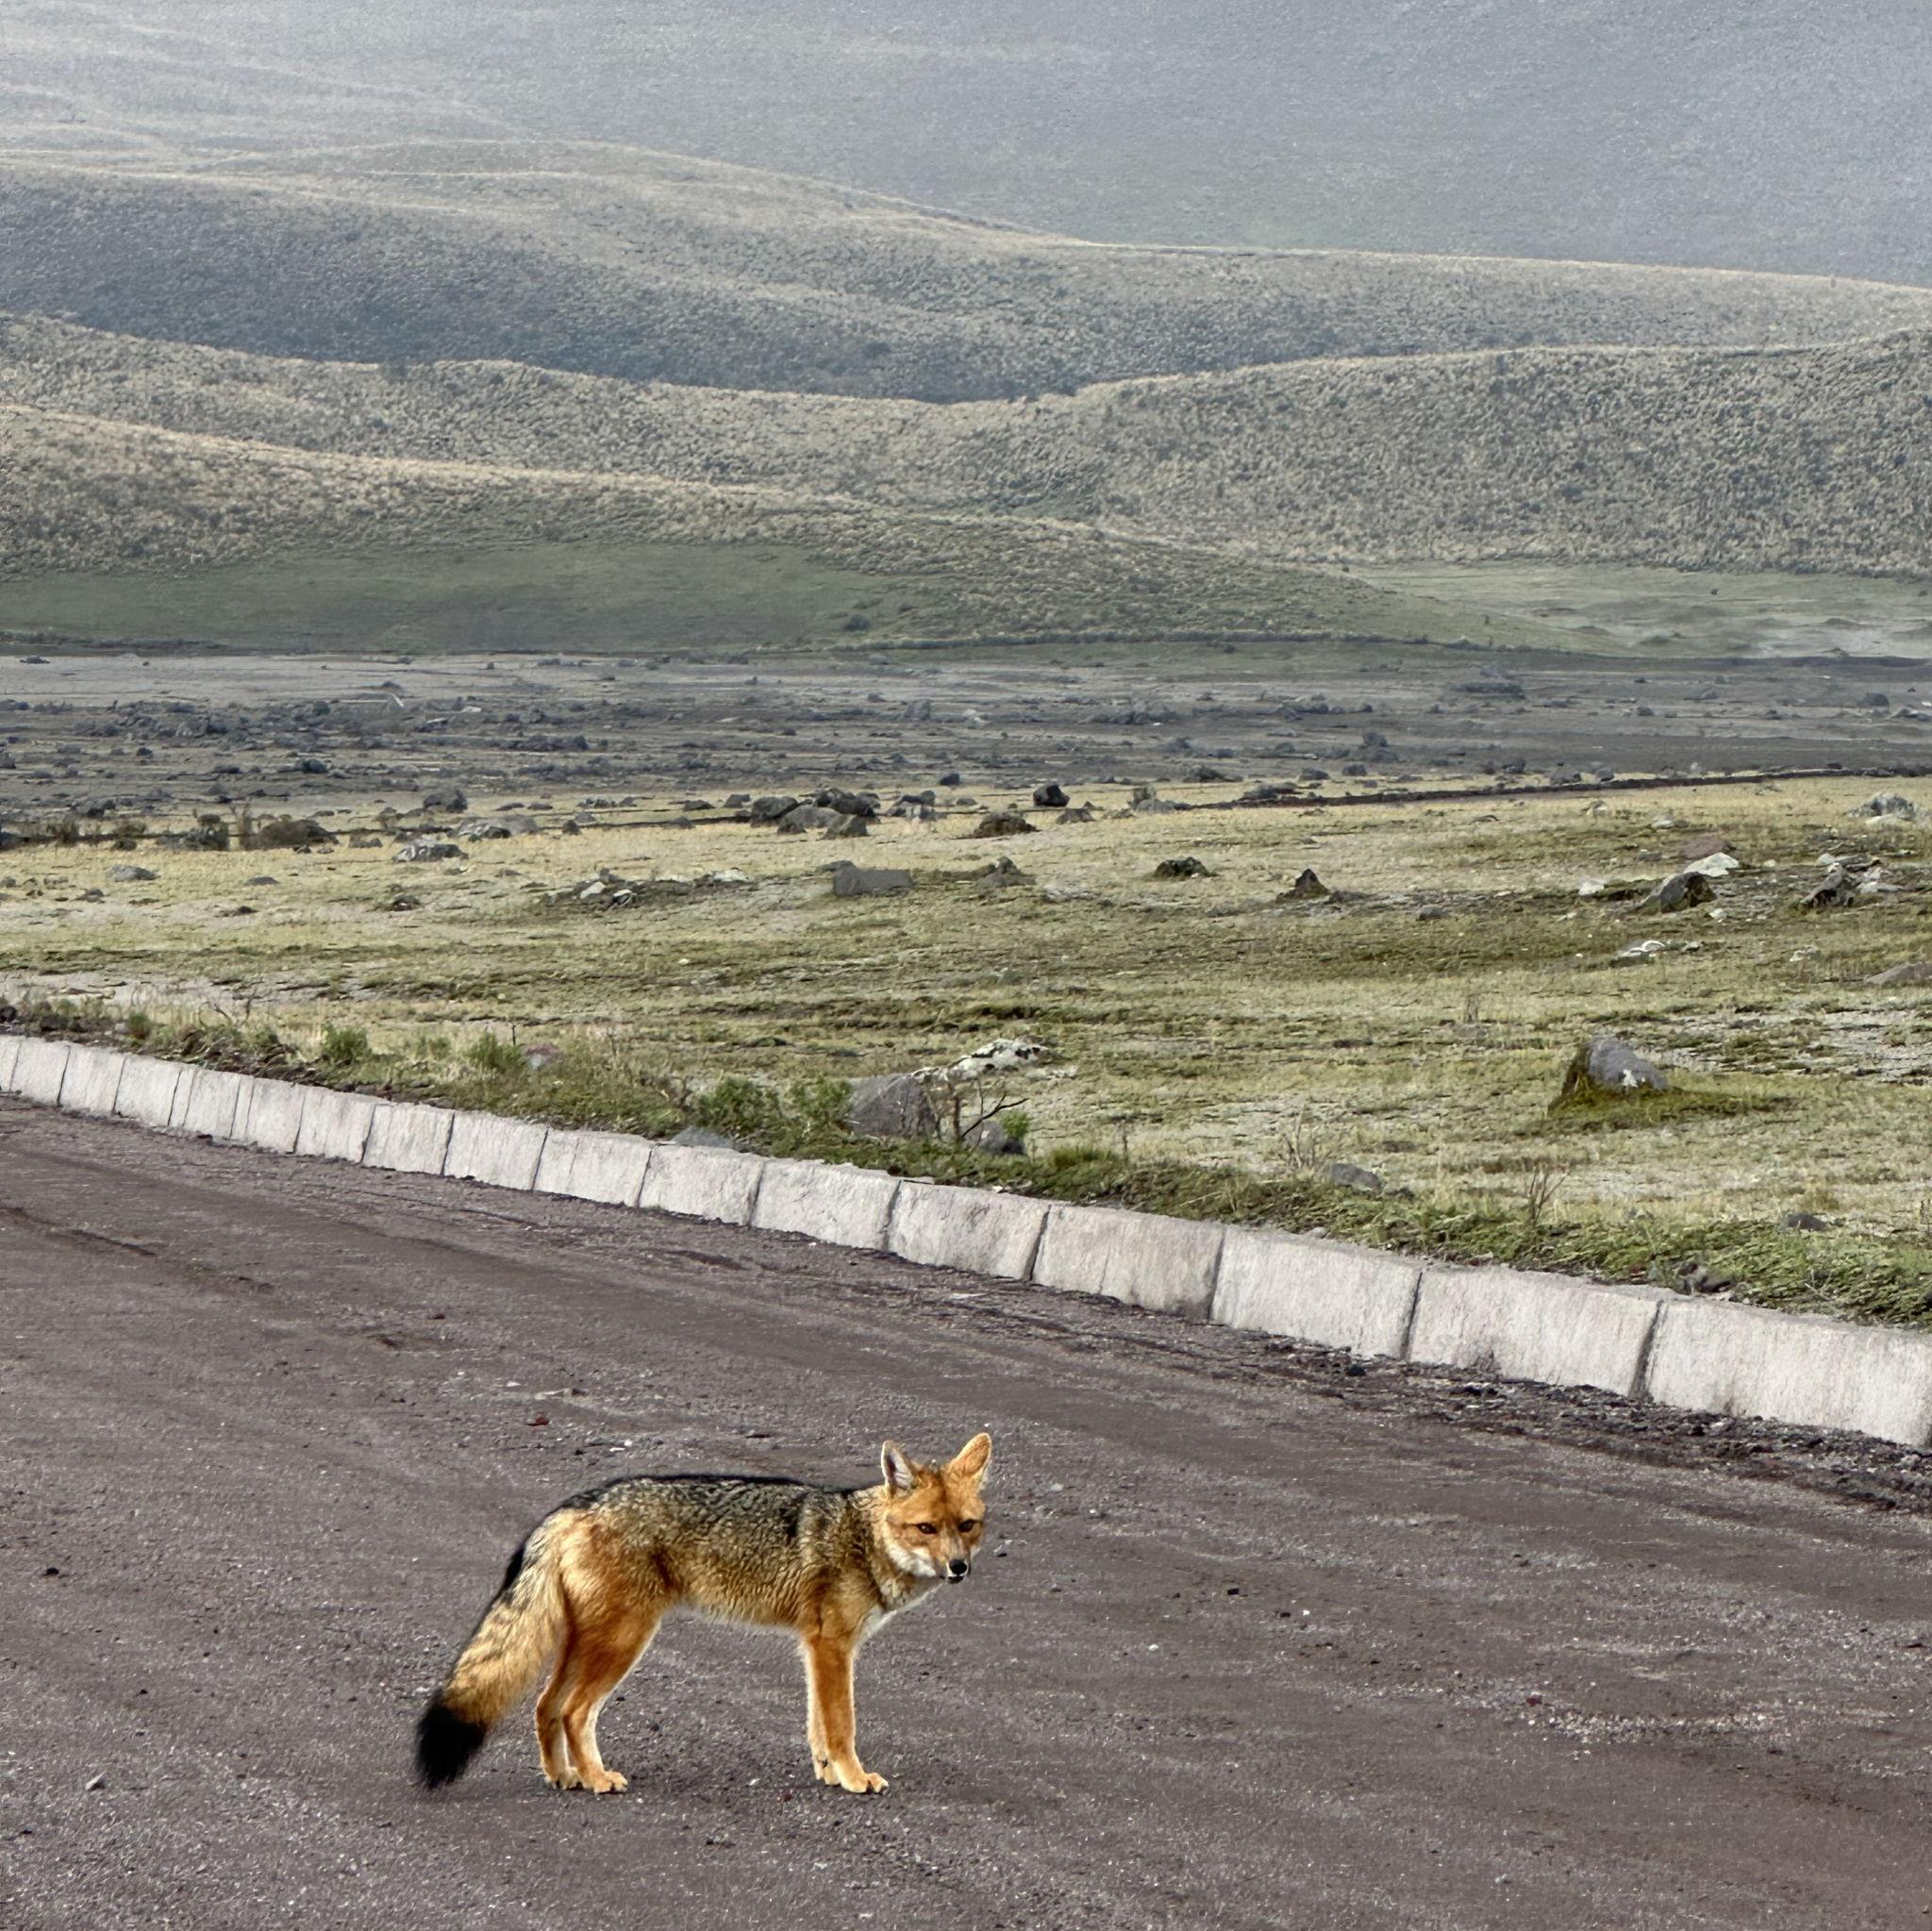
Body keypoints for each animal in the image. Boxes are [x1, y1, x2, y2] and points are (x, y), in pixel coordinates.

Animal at [414, 1431, 992, 1796]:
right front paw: (854, 1778)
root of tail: (581, 1501)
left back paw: (564, 1777)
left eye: (966, 1525)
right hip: (624, 1641)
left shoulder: (815, 1647)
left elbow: (817, 1727)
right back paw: (597, 1779)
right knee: (575, 1711)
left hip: (587, 1642)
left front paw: (830, 1774)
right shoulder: (832, 1646)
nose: (959, 1568)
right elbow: (841, 1724)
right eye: (926, 1529)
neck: (861, 1538)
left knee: (544, 1706)